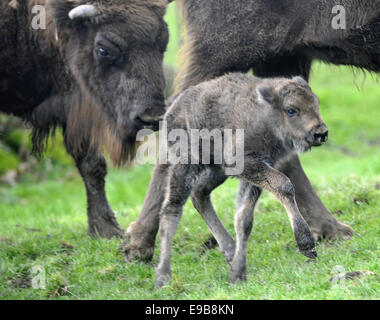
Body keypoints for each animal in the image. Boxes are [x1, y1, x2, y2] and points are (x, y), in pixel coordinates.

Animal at [0, 0, 169, 238]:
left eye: (164, 44)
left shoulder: (77, 105)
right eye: (103, 50)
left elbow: (92, 164)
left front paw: (106, 229)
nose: (151, 115)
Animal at [123, 0, 378, 260]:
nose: (321, 133)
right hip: (225, 51)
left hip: (281, 56)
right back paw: (139, 245)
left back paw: (332, 230)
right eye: (293, 110)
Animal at [153, 74, 328, 288]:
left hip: (216, 171)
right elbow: (285, 185)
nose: (321, 133)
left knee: (199, 195)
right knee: (172, 209)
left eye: (316, 103)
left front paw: (238, 273)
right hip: (186, 166)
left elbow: (244, 218)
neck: (265, 113)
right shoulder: (246, 164)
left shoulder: (256, 172)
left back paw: (229, 250)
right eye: (291, 110)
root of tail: (171, 110)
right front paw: (307, 245)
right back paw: (163, 277)